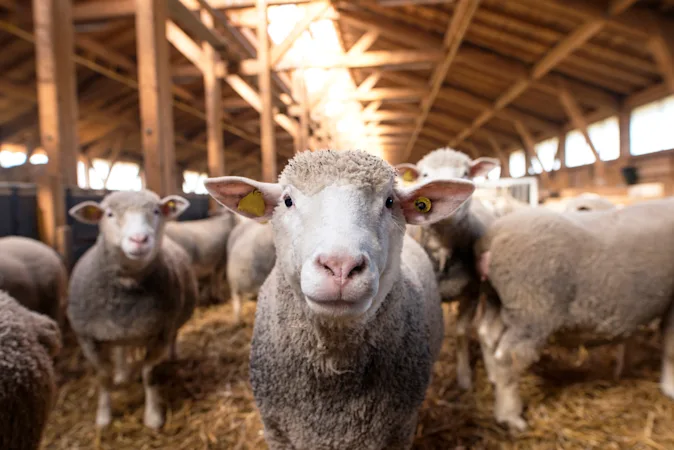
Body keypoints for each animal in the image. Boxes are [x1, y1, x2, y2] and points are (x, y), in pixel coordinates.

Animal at [67, 190, 198, 429]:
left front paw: (153, 416)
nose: (139, 239)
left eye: (156, 211)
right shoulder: (87, 339)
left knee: (173, 337)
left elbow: (149, 374)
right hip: (118, 331)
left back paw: (172, 356)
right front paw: (103, 417)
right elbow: (103, 377)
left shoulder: (161, 333)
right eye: (109, 214)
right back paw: (122, 373)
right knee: (120, 349)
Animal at [396, 147, 499, 390]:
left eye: (465, 173)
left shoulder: (472, 293)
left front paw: (464, 376)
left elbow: (461, 332)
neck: (443, 249)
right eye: (424, 174)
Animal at [475, 198, 674, 432]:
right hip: (532, 309)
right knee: (509, 357)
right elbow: (671, 348)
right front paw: (670, 389)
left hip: (496, 299)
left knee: (487, 335)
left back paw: (493, 379)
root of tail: (493, 235)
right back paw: (510, 416)